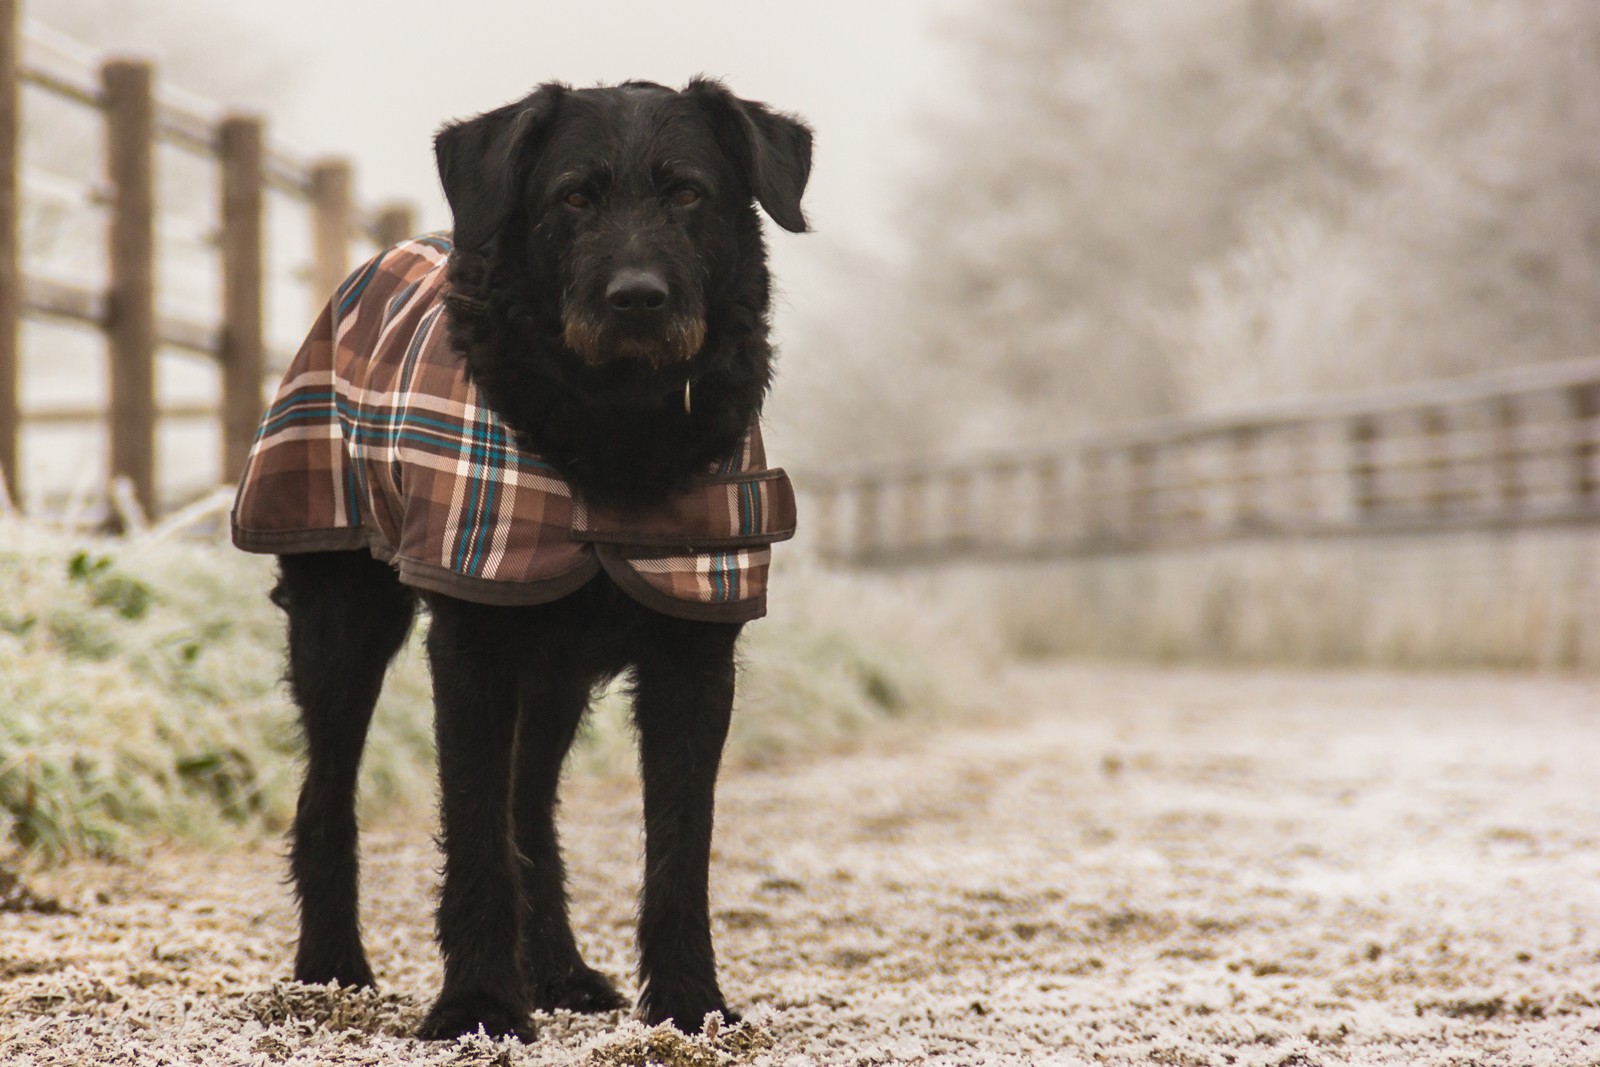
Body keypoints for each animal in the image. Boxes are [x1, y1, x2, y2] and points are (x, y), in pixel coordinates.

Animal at [268, 77, 812, 1043]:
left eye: (688, 193)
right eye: (574, 198)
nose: (637, 298)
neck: (613, 427)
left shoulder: (695, 656)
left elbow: (680, 842)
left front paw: (690, 1001)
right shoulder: (474, 645)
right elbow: (476, 829)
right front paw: (479, 1004)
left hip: (553, 677)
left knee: (531, 810)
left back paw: (556, 969)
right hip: (342, 625)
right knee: (327, 791)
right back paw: (332, 967)